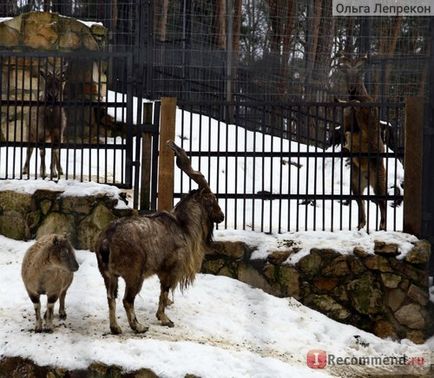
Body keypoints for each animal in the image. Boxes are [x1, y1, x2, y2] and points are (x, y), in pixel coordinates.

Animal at [95, 140, 224, 334]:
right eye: (213, 199)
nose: (222, 216)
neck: (183, 226)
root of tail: (106, 241)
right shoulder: (170, 270)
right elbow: (164, 292)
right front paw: (165, 319)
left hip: (109, 275)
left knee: (111, 297)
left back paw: (116, 328)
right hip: (134, 275)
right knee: (127, 300)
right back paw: (139, 326)